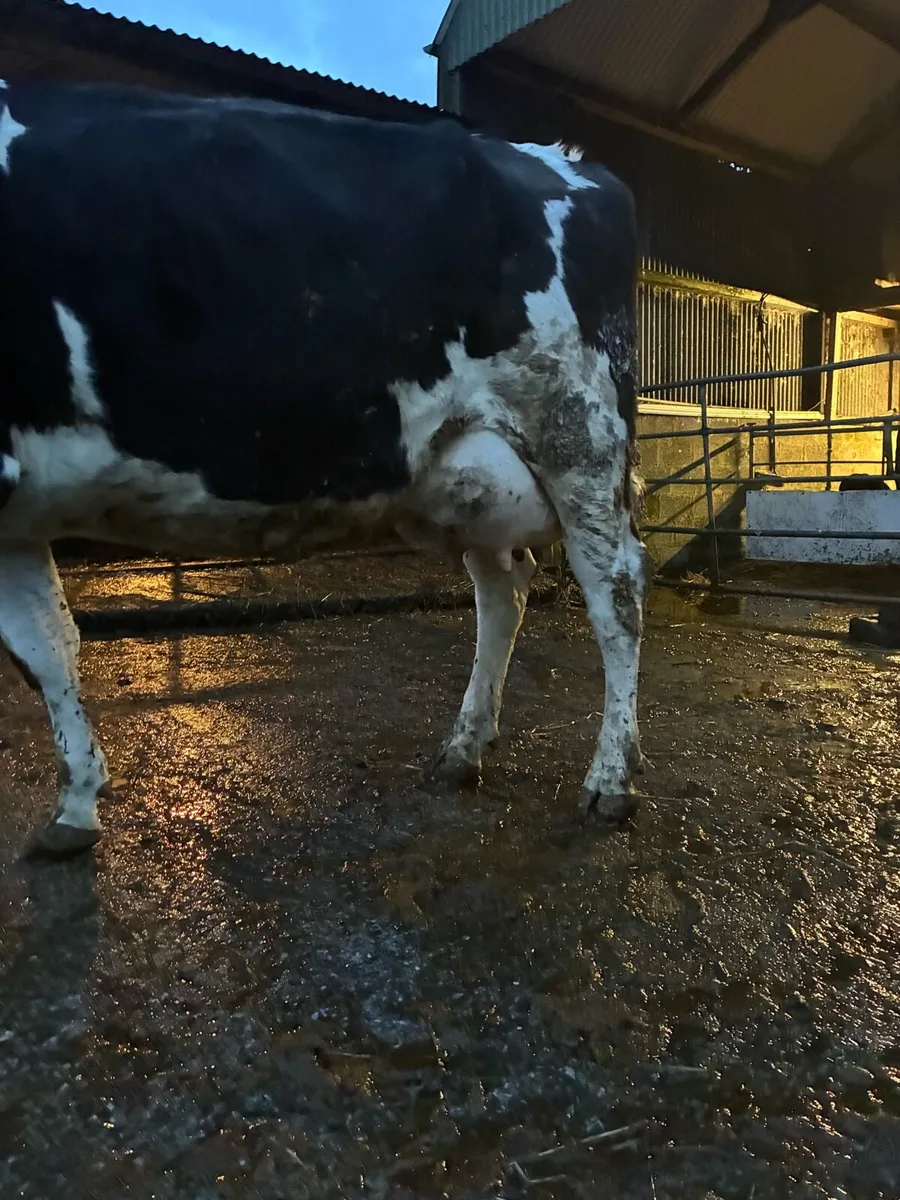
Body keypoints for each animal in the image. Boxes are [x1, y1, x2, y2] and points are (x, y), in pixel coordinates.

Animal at [0, 79, 650, 858]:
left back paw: (610, 781)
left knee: (616, 595)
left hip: (578, 436)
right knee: (505, 589)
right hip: (470, 472)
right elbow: (45, 644)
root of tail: (576, 164)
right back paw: (463, 749)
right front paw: (75, 804)